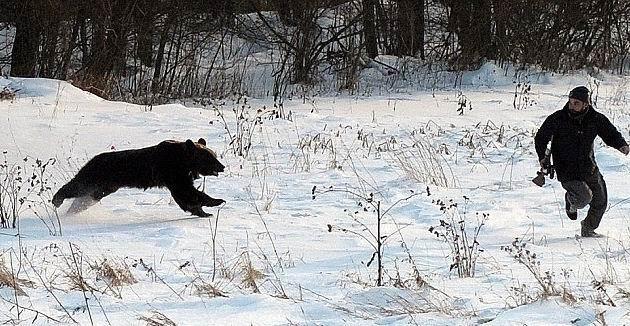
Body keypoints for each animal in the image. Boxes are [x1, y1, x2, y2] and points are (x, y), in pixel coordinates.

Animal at [52, 138, 225, 216]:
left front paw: (203, 211)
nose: (222, 167)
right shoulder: (172, 174)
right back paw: (57, 200)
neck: (183, 162)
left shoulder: (180, 176)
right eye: (210, 158)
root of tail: (93, 159)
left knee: (88, 197)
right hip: (96, 177)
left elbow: (186, 195)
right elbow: (187, 193)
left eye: (214, 155)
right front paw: (216, 201)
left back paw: (73, 210)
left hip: (105, 187)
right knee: (77, 186)